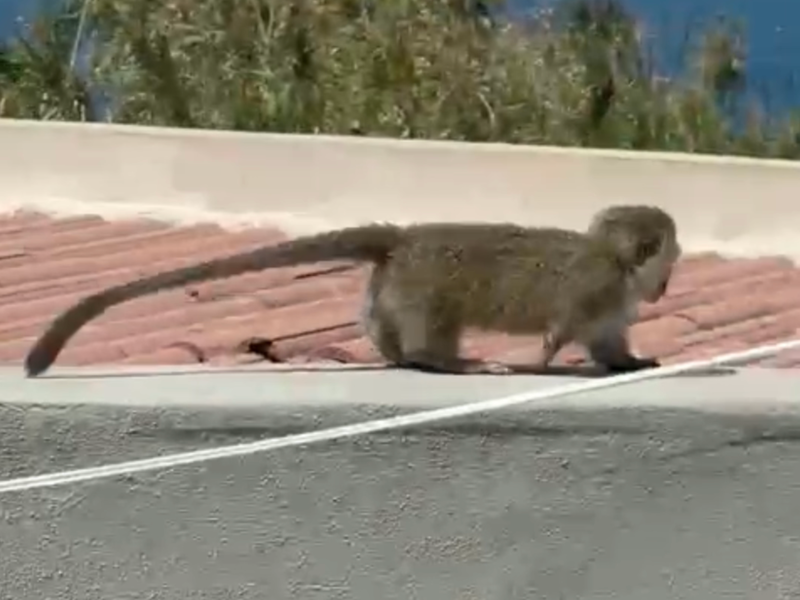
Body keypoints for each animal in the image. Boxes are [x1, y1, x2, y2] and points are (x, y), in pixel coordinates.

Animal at [23, 204, 680, 378]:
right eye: (668, 259)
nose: (664, 289)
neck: (618, 264)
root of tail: (406, 238)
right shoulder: (596, 286)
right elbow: (562, 328)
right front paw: (542, 360)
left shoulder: (611, 304)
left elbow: (606, 342)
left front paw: (629, 361)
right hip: (422, 283)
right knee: (432, 326)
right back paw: (442, 360)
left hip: (395, 282)